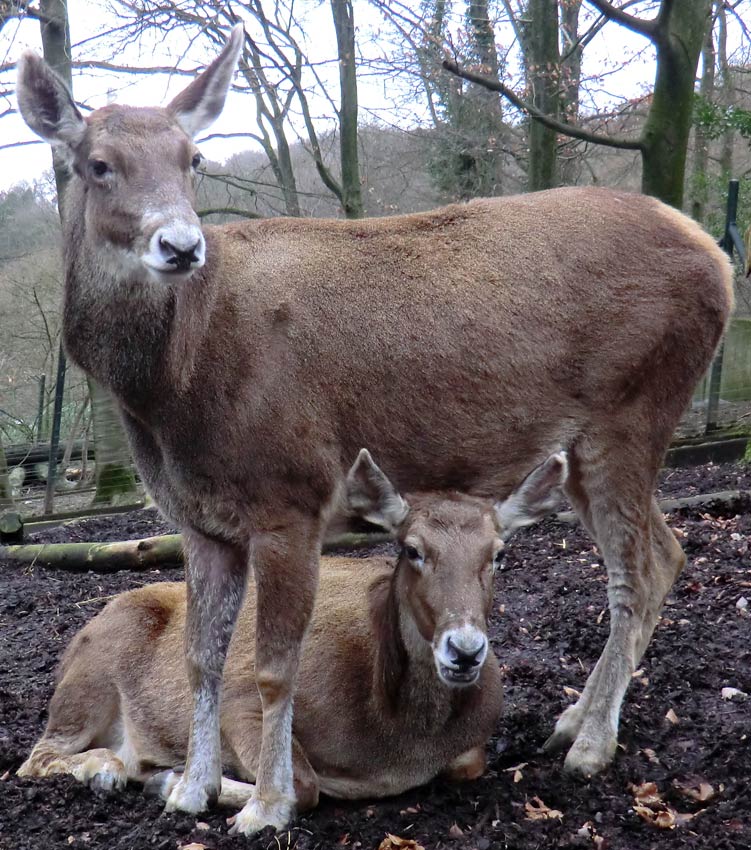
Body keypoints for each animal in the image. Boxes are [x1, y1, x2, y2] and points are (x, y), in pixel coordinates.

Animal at [16, 450, 568, 816]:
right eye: (412, 549)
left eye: (498, 554)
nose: (465, 650)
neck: (400, 741)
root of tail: (67, 650)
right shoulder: (240, 701)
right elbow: (303, 786)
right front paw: (179, 785)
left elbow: (468, 764)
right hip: (91, 675)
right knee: (35, 756)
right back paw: (108, 769)